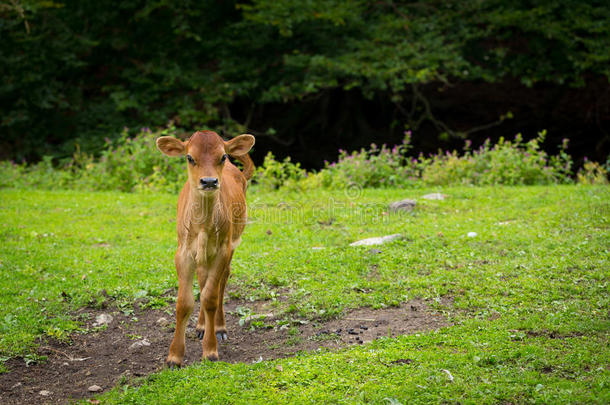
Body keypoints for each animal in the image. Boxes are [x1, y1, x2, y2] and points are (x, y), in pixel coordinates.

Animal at [157, 130, 254, 366]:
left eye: (222, 156)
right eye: (189, 157)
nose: (209, 181)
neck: (202, 225)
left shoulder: (222, 250)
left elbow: (210, 297)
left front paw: (210, 350)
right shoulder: (182, 253)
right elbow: (184, 302)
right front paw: (174, 356)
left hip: (231, 245)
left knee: (221, 281)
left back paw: (218, 327)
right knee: (203, 279)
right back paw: (201, 325)